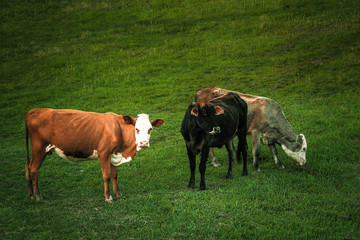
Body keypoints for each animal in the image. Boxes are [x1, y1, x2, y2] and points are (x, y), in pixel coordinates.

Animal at [25, 109, 165, 202]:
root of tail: (35, 110)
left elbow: (114, 175)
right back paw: (38, 196)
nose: (144, 143)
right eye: (136, 128)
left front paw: (118, 194)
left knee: (28, 167)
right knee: (34, 170)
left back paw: (31, 194)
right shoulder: (104, 153)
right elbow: (106, 176)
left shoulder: (114, 154)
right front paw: (108, 197)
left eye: (150, 129)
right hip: (39, 149)